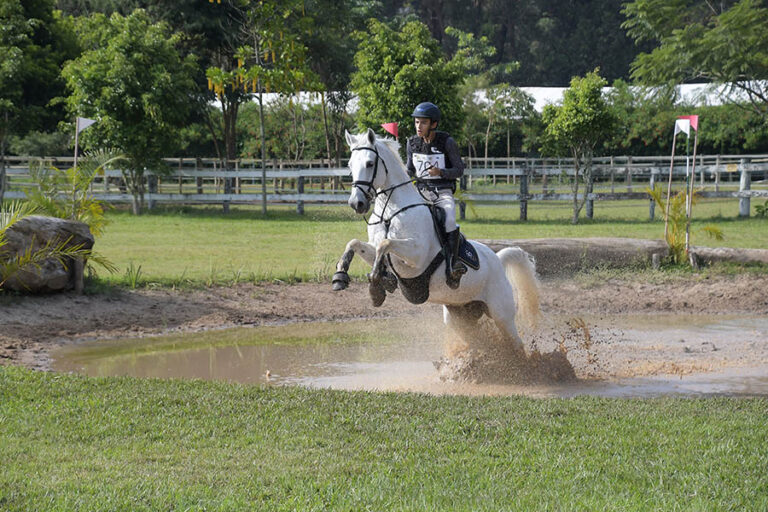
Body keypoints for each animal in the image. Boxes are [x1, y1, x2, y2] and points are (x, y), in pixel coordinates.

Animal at [332, 130, 540, 350]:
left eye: (370, 163)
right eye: (350, 165)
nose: (357, 203)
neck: (390, 212)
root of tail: (498, 260)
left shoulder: (416, 258)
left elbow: (385, 245)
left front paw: (376, 287)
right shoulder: (382, 251)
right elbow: (356, 244)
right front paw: (342, 277)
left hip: (502, 314)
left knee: (517, 344)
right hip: (460, 317)